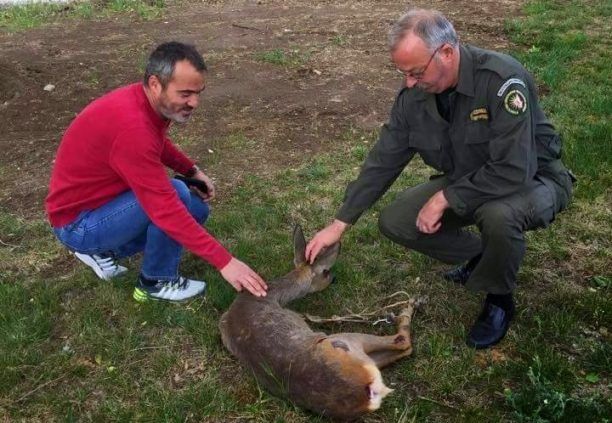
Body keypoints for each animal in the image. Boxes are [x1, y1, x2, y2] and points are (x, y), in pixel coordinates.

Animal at [218, 227, 418, 420]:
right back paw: (406, 308)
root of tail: (368, 393)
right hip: (343, 341)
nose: (334, 278)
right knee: (402, 342)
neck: (270, 296)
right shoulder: (295, 316)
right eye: (326, 271)